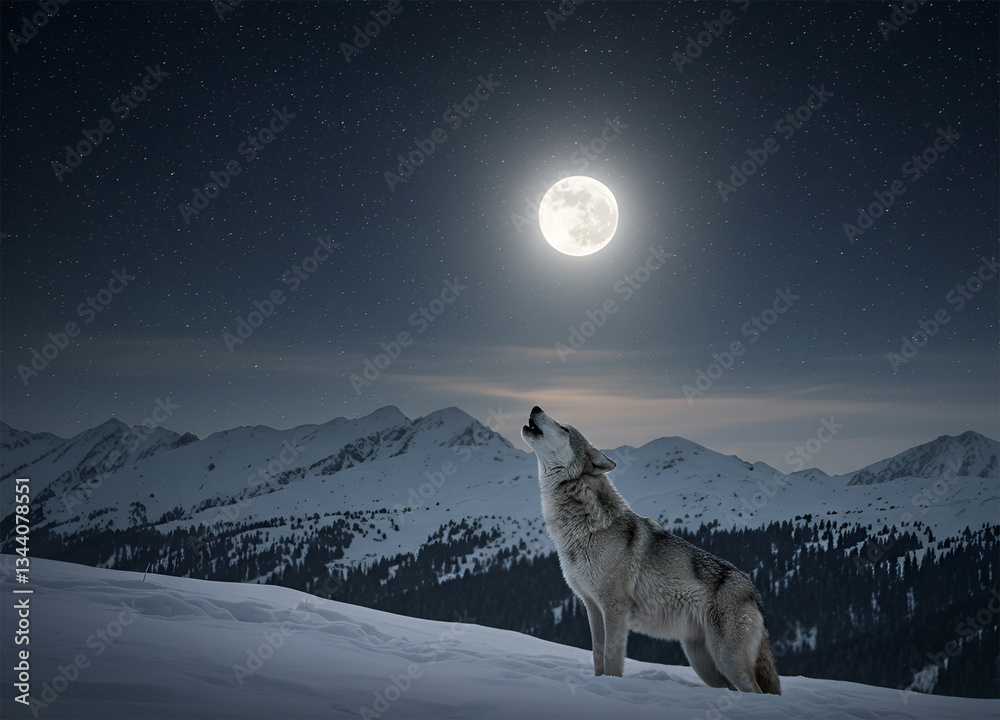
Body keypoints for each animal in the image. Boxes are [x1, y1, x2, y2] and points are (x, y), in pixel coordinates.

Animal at [521, 406, 781, 694]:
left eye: (565, 429)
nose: (536, 407)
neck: (585, 527)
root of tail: (753, 590)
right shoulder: (592, 606)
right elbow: (597, 656)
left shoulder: (615, 608)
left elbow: (611, 659)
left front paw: (611, 687)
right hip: (705, 665)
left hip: (726, 660)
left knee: (757, 692)